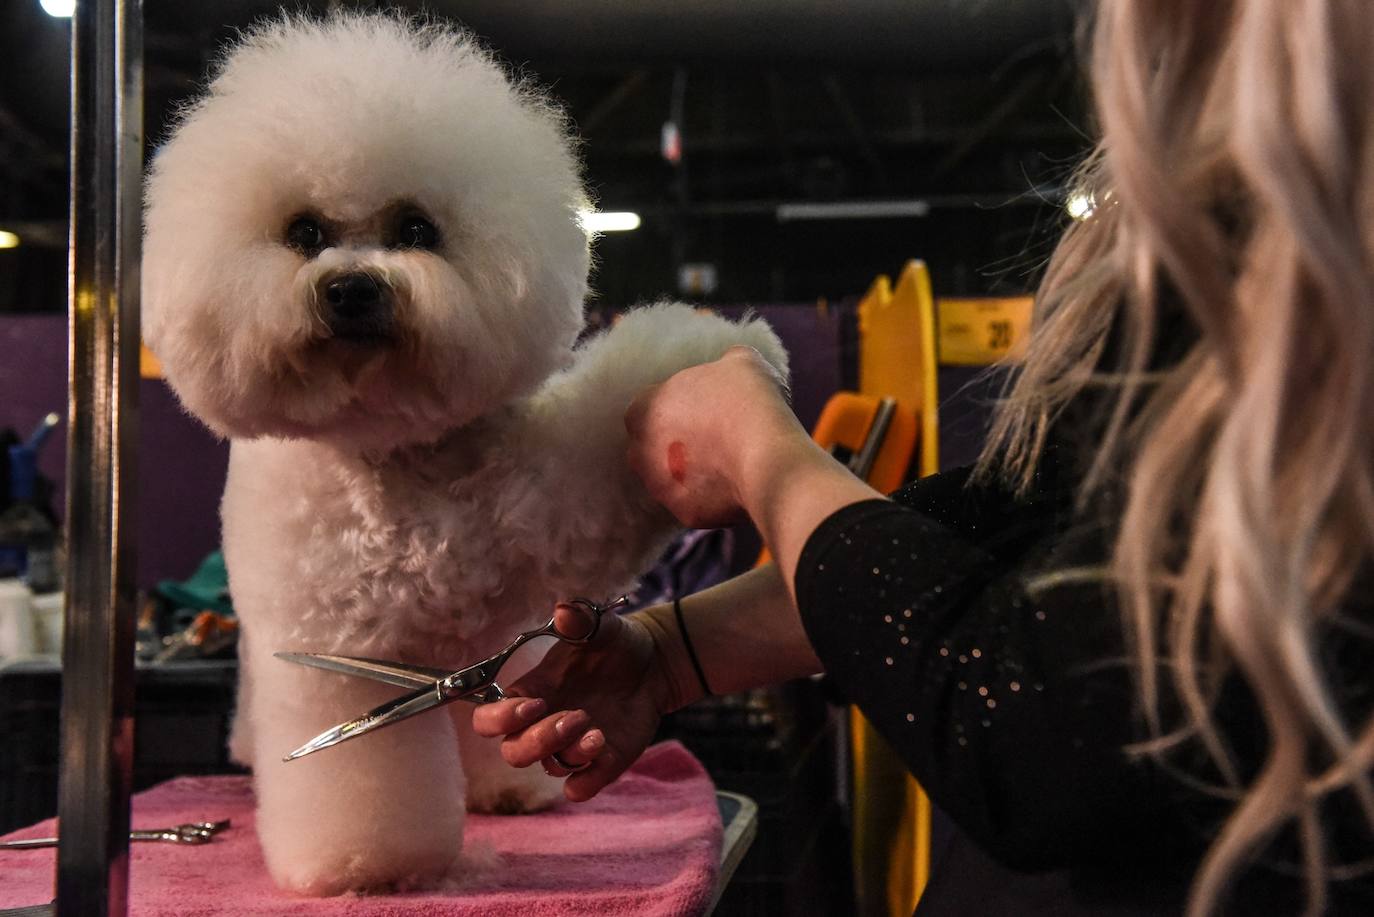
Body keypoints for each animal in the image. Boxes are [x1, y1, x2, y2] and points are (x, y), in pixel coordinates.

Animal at [142, 10, 785, 890]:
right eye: (304, 232)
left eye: (416, 228)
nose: (352, 287)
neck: (396, 456)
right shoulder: (339, 656)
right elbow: (359, 765)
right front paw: (368, 863)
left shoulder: (556, 508)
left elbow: (603, 461)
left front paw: (703, 362)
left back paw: (509, 789)